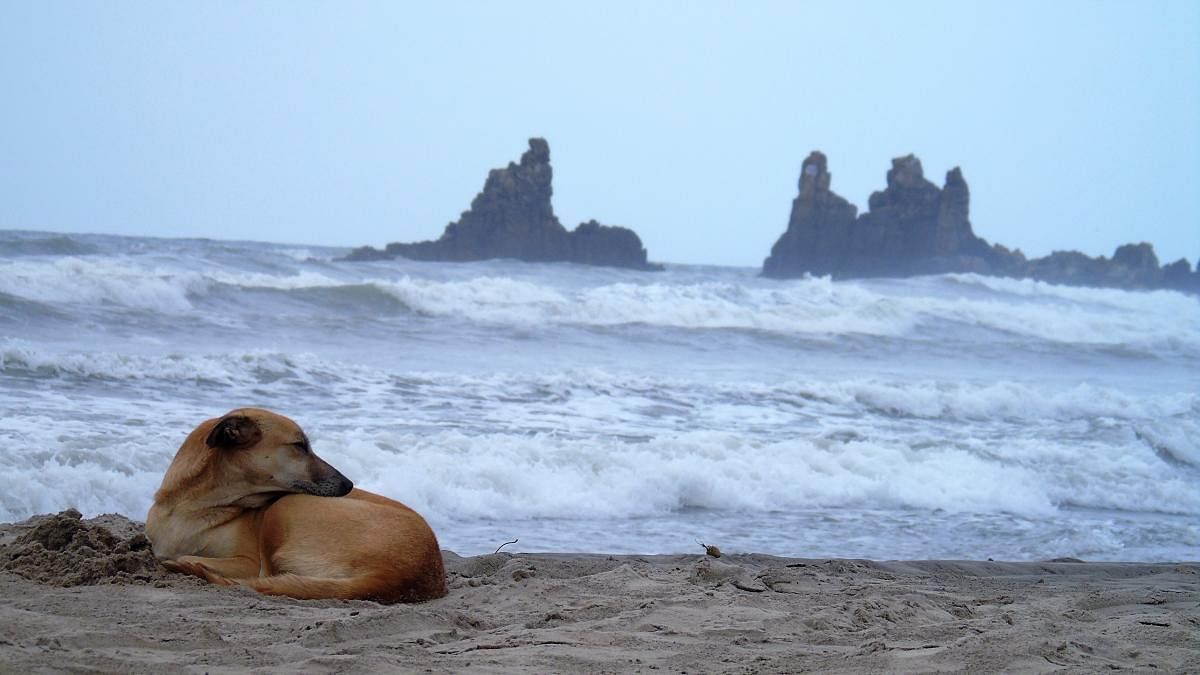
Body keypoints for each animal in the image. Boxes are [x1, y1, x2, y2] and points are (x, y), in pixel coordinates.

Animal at [145, 403, 446, 598]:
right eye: (300, 446)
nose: (349, 485)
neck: (193, 508)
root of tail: (401, 574)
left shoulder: (249, 561)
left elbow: (184, 555)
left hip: (286, 507)